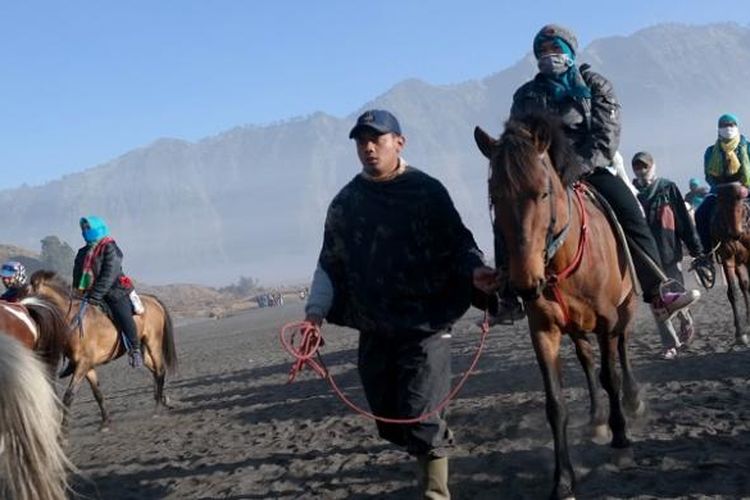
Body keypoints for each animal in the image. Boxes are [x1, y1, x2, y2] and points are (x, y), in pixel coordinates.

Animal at [30, 270, 179, 430]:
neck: (73, 319)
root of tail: (152, 300)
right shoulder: (86, 366)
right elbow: (97, 393)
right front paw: (105, 422)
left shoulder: (83, 364)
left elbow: (69, 395)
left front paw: (62, 429)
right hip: (141, 349)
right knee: (155, 370)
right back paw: (163, 400)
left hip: (153, 343)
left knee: (160, 370)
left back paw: (157, 408)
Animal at [476, 114, 648, 500]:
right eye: (495, 197)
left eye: (542, 192)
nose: (526, 282)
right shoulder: (544, 330)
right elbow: (555, 403)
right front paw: (564, 479)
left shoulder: (606, 320)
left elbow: (611, 376)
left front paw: (622, 443)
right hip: (576, 326)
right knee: (586, 361)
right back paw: (597, 419)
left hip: (625, 308)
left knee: (622, 350)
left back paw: (632, 401)